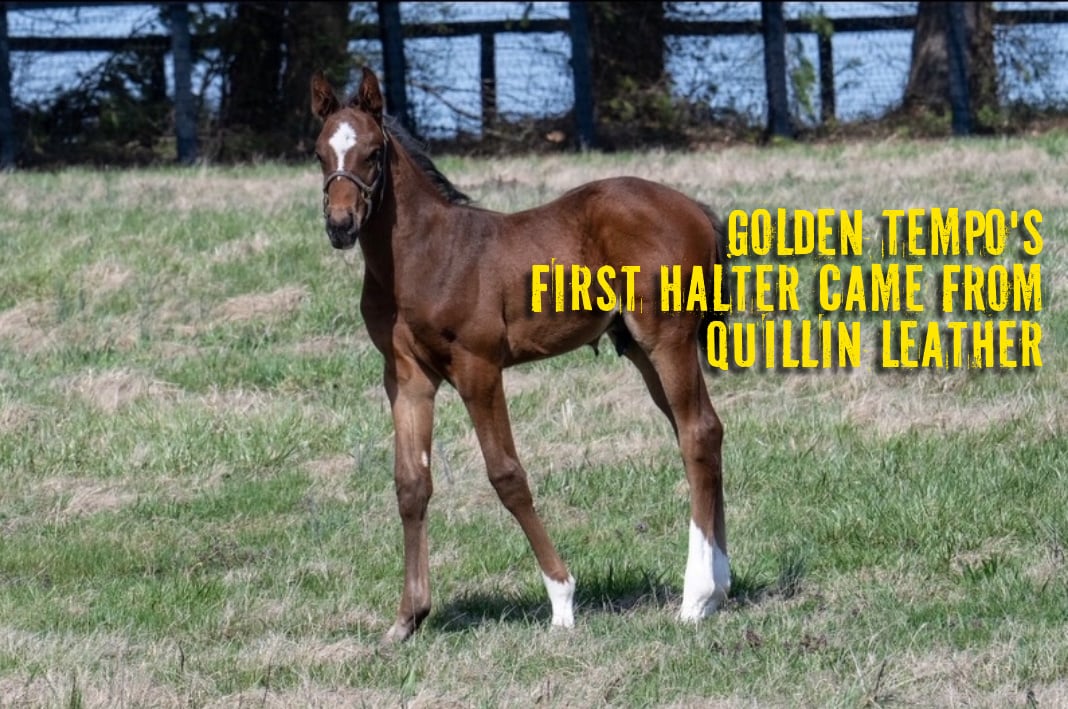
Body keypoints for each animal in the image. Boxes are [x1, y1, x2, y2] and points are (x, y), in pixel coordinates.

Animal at [310, 67, 730, 642]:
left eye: (374, 153)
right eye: (319, 154)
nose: (340, 225)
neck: (424, 255)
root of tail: (696, 210)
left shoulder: (478, 367)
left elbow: (506, 475)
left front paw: (562, 602)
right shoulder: (407, 376)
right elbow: (411, 483)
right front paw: (407, 619)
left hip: (665, 339)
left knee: (696, 433)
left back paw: (696, 598)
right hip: (641, 350)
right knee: (707, 430)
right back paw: (720, 586)